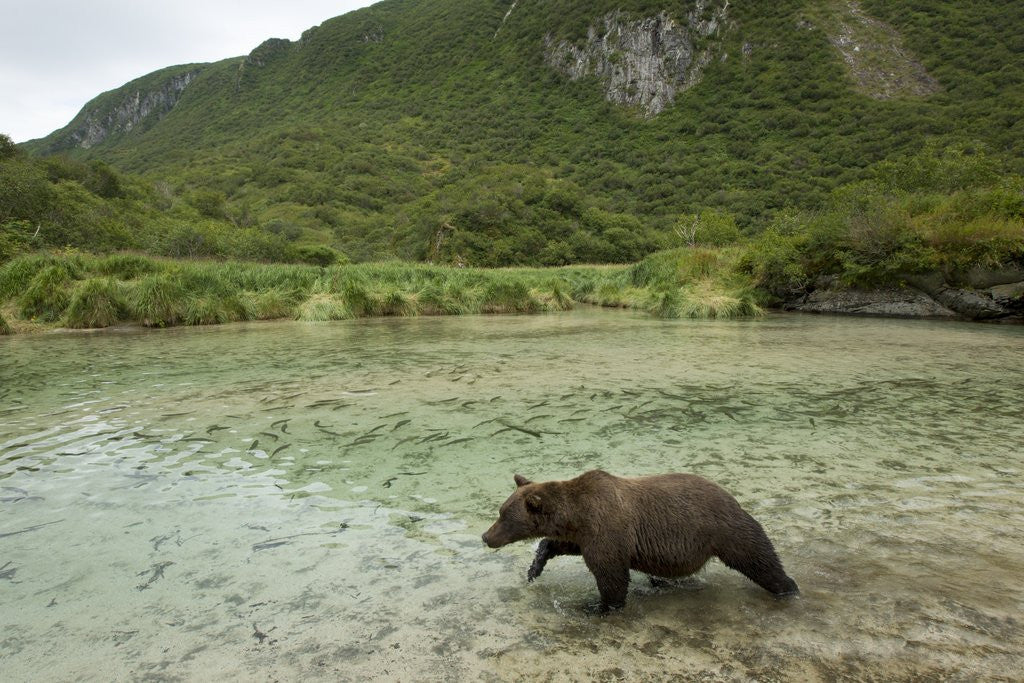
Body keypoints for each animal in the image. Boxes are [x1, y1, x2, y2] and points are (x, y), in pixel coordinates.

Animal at [481, 470, 799, 612]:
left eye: (502, 515)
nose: (486, 537)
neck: (576, 514)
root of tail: (731, 496)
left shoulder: (605, 530)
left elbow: (611, 576)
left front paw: (597, 606)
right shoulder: (583, 535)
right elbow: (559, 545)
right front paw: (534, 568)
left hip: (725, 529)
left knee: (758, 557)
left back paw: (788, 587)